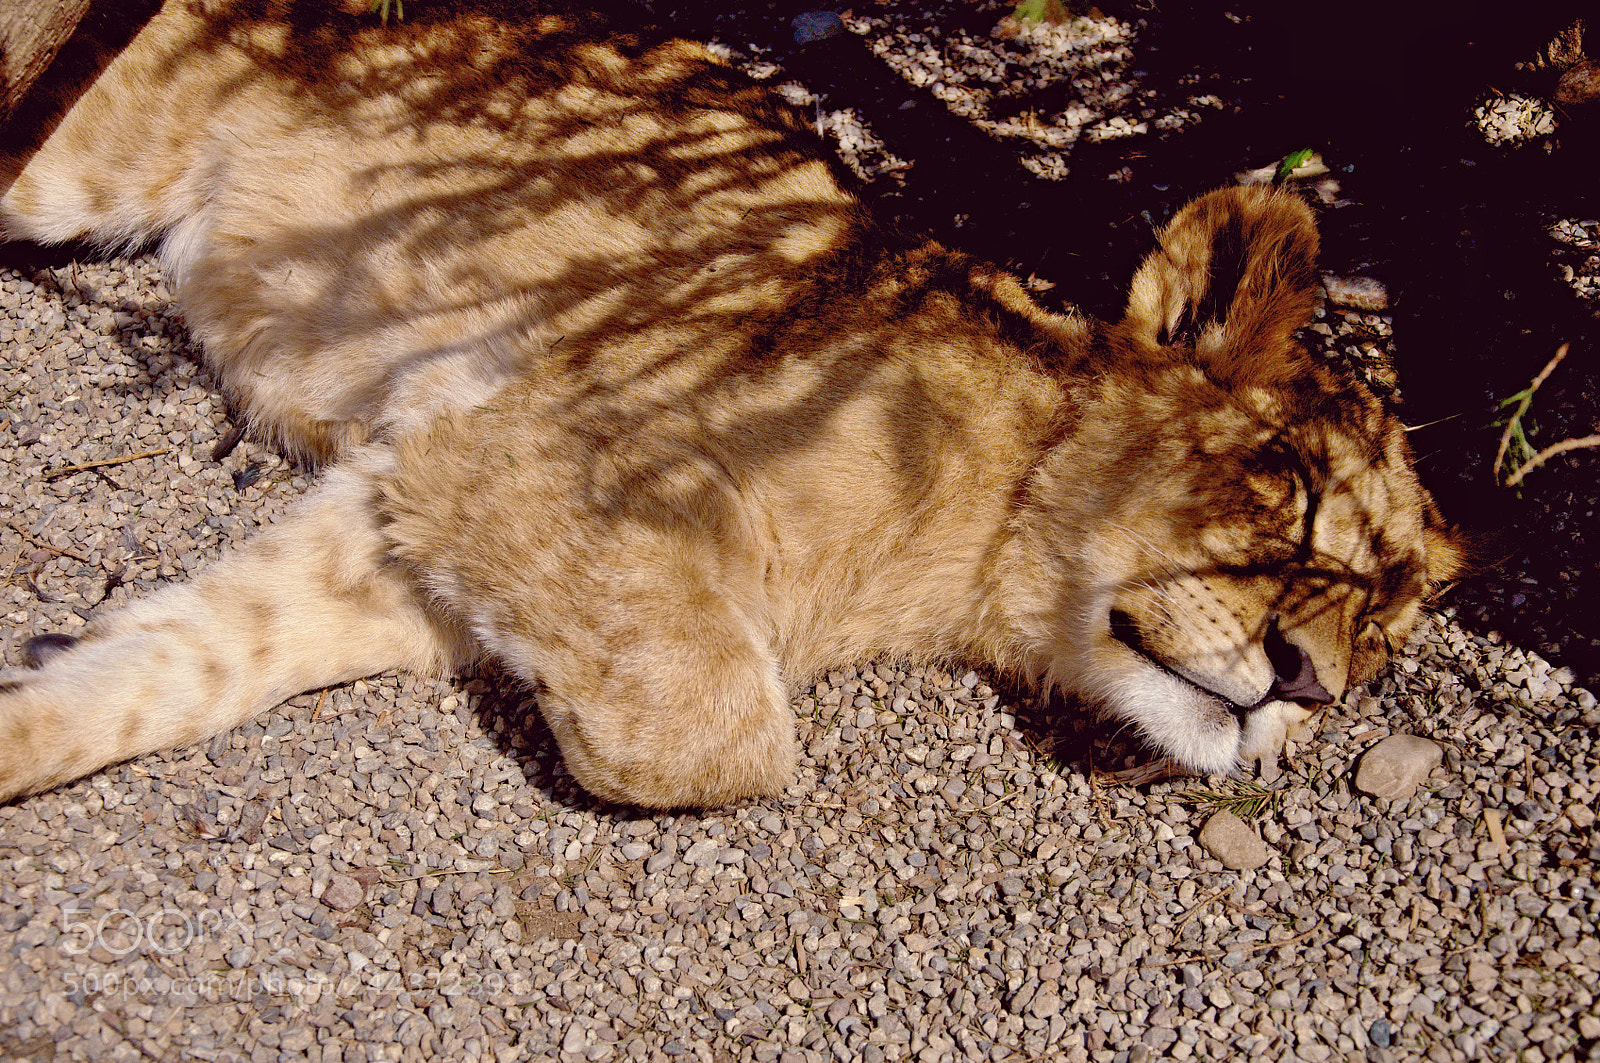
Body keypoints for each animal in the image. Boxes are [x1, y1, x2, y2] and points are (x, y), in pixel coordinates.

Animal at [0, 0, 1457, 808]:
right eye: (1294, 488)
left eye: (1382, 641)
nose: (1308, 684)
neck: (980, 550)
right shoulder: (537, 438)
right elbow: (724, 734)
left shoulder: (401, 525)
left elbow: (179, 667)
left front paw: (40, 696)